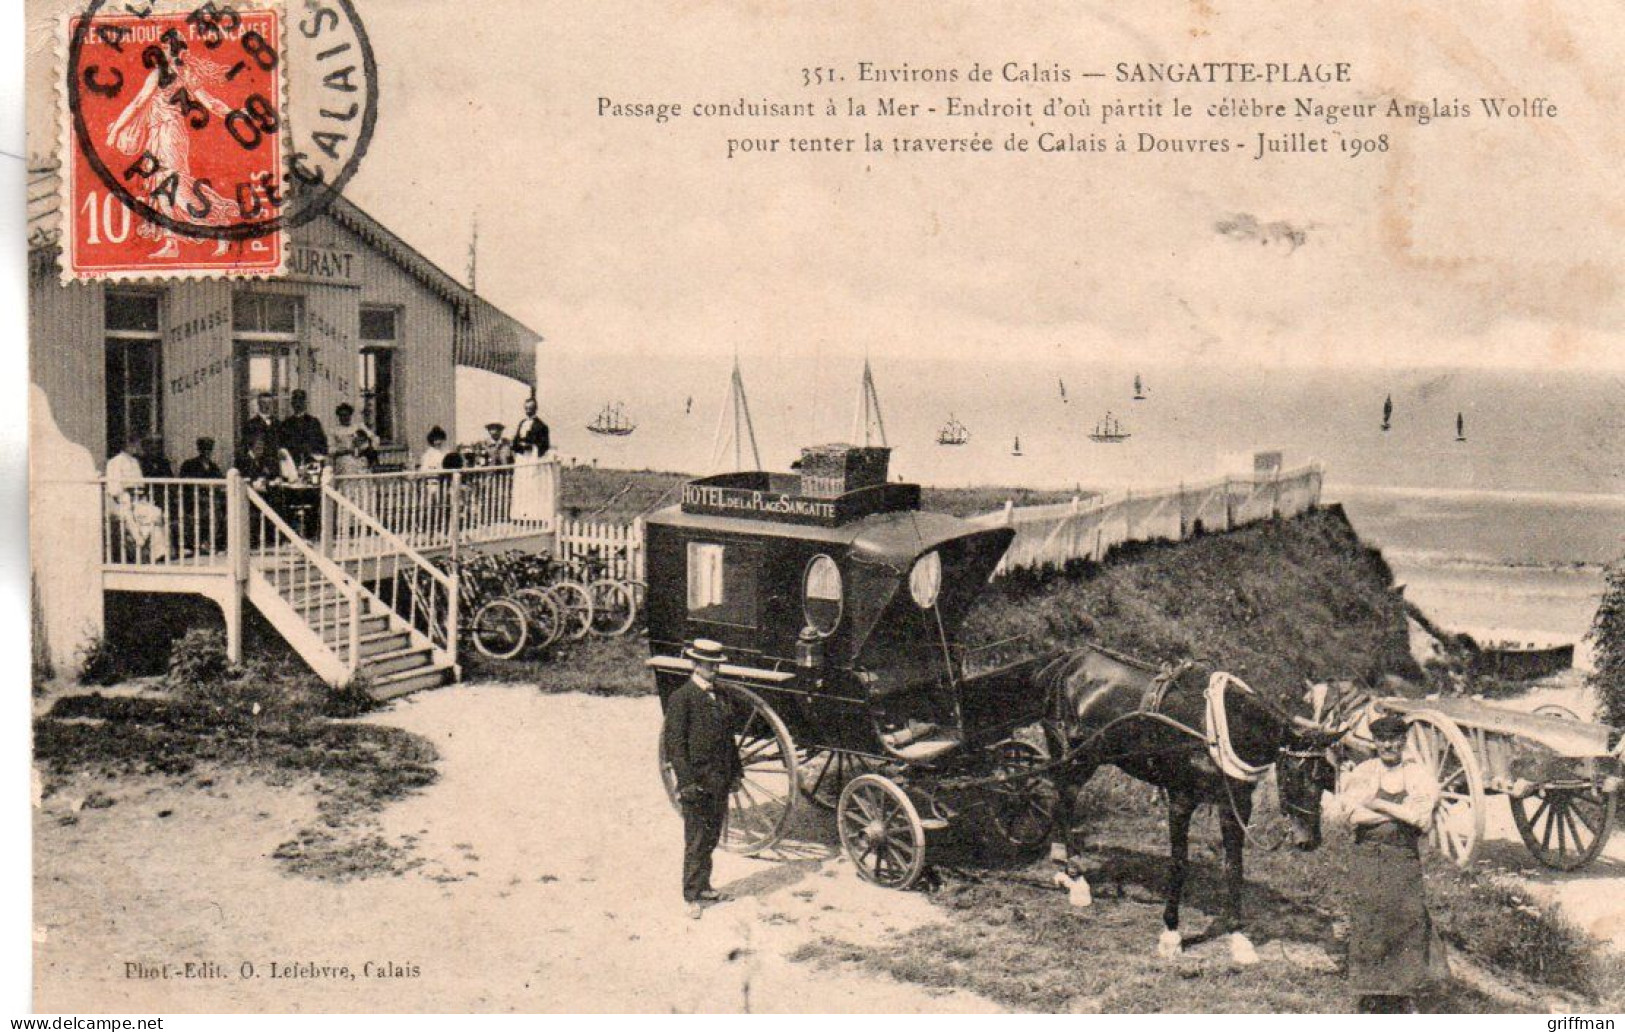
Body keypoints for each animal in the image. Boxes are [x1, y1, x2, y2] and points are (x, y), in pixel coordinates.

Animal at [1040, 650, 1345, 962]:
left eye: (1326, 776)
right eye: (1296, 772)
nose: (1309, 840)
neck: (1217, 728)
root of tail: (1071, 660)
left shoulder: (1235, 804)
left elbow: (1234, 866)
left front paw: (1238, 937)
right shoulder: (1181, 799)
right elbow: (1179, 863)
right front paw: (1171, 932)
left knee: (1064, 798)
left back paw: (1064, 864)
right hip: (1074, 754)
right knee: (1064, 797)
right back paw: (1075, 877)